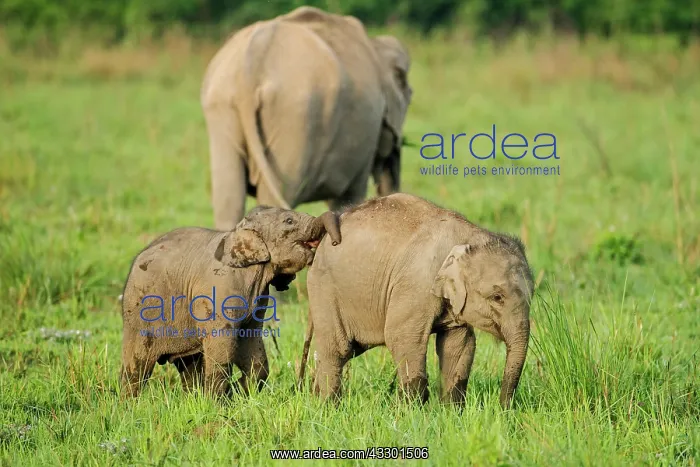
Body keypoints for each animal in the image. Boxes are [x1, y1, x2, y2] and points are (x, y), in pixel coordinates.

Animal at [119, 206, 341, 398]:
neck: (237, 232)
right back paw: (129, 406)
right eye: (289, 221)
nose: (334, 241)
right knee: (137, 367)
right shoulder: (219, 289)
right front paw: (219, 401)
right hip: (139, 313)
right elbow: (222, 345)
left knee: (189, 366)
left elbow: (252, 343)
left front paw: (235, 393)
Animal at [200, 6, 413, 230]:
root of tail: (248, 74)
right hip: (293, 116)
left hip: (222, 108)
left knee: (228, 202)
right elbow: (350, 194)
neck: (375, 46)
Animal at [298, 193, 534, 409]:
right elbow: (401, 336)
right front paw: (411, 413)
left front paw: (451, 412)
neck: (468, 236)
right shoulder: (415, 285)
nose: (503, 409)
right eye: (497, 297)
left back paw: (316, 398)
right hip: (324, 288)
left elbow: (459, 344)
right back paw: (328, 407)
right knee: (338, 350)